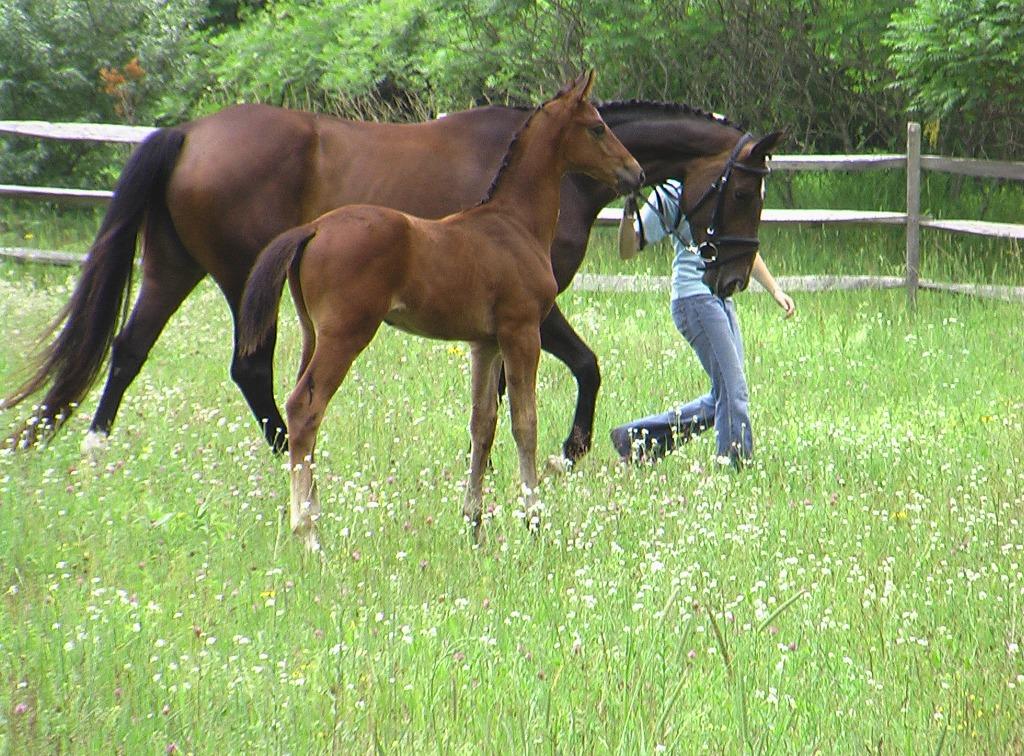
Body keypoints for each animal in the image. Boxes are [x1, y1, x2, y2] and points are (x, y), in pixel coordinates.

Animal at [2, 88, 782, 458]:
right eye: (747, 190)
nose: (732, 280)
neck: (551, 174)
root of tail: (190, 133)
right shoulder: (533, 304)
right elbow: (585, 366)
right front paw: (569, 450)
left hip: (172, 268)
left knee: (127, 349)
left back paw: (95, 450)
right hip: (241, 279)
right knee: (251, 369)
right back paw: (287, 455)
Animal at [237, 72, 638, 549]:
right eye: (597, 127)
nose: (635, 171)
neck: (514, 224)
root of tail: (313, 229)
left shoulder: (485, 343)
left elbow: (483, 425)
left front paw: (474, 522)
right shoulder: (522, 331)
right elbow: (525, 423)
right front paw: (533, 518)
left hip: (311, 333)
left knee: (303, 411)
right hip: (345, 335)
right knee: (304, 409)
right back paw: (309, 530)